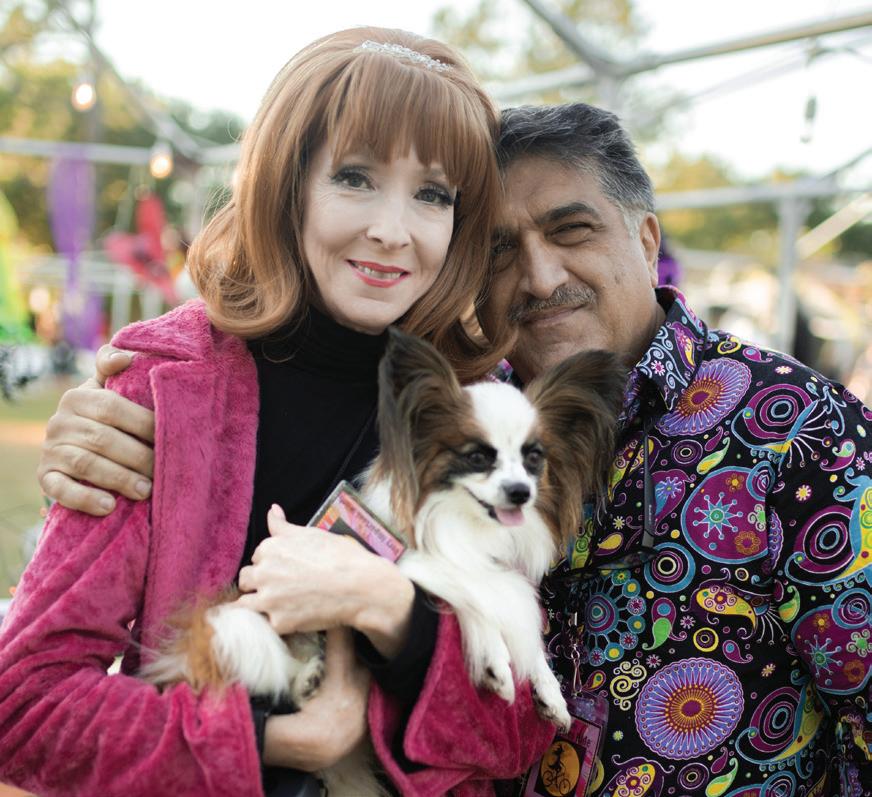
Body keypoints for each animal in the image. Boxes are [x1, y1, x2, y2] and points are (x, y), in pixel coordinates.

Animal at [140, 328, 624, 794]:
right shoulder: (404, 563)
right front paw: (493, 658)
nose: (520, 492)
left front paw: (549, 691)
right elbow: (467, 596)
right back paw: (307, 679)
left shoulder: (501, 577)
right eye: (477, 456)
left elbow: (518, 621)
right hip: (245, 622)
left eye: (533, 458)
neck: (463, 526)